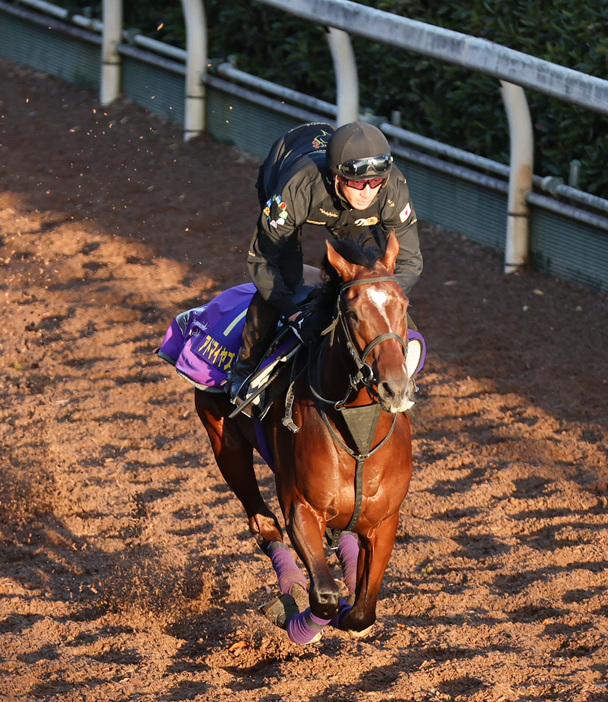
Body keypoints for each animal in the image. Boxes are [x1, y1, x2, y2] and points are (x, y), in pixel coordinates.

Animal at [194, 234, 414, 648]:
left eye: (403, 305)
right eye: (353, 313)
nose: (394, 387)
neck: (358, 439)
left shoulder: (384, 522)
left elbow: (361, 612)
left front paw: (349, 605)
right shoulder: (301, 506)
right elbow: (325, 596)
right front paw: (298, 620)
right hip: (225, 443)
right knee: (263, 524)